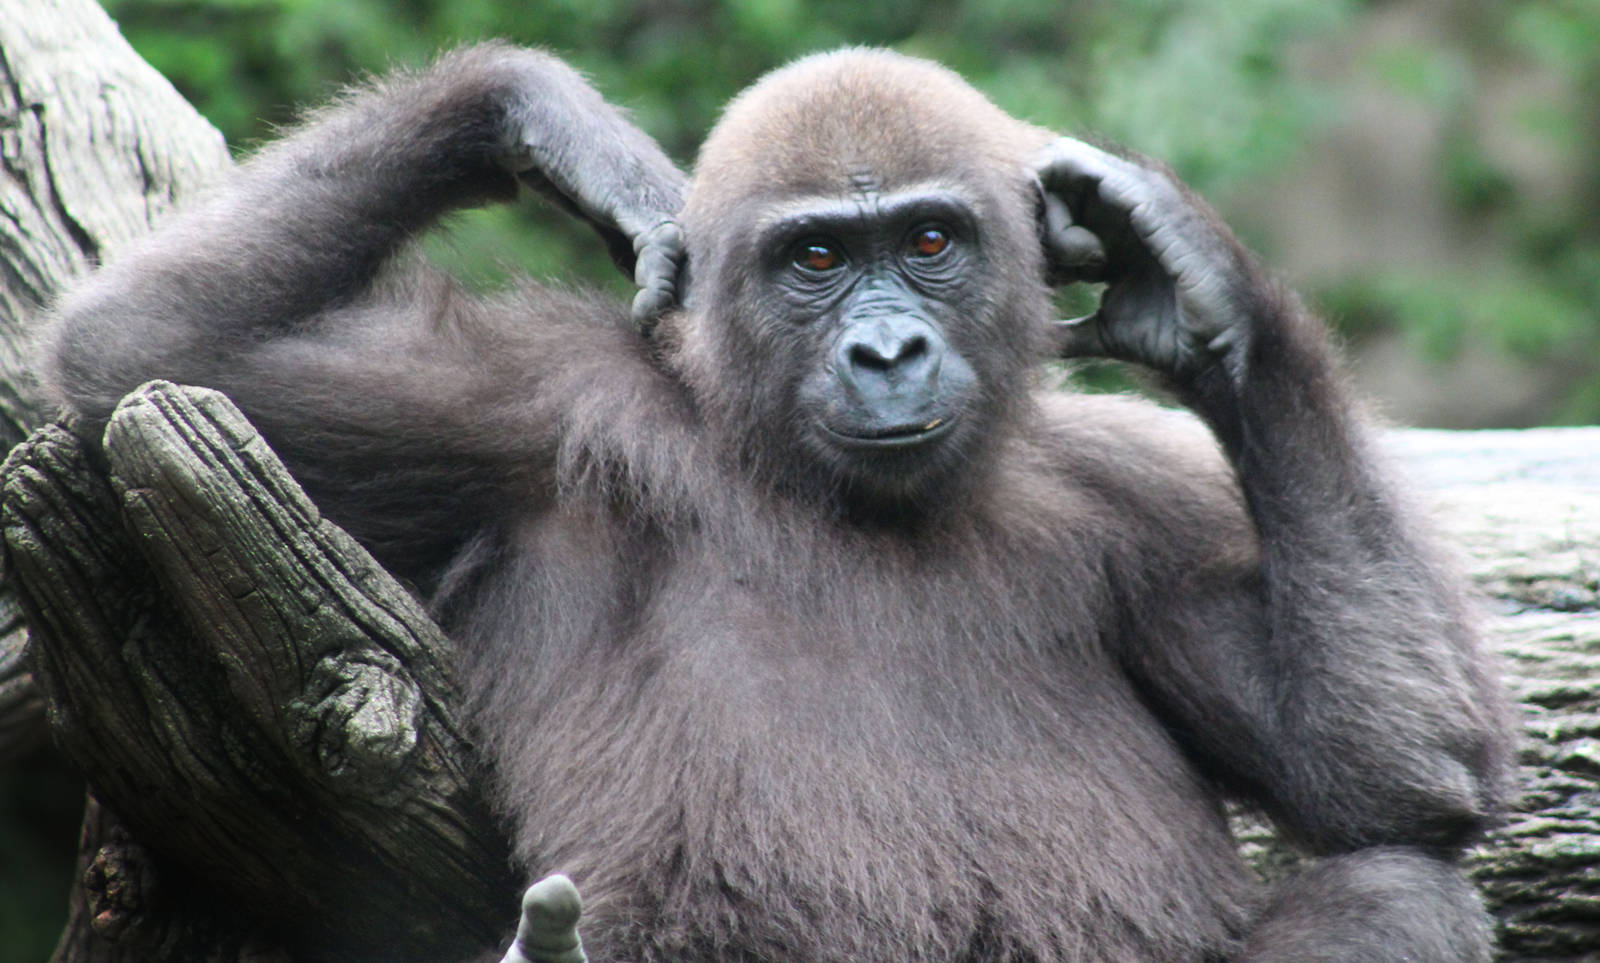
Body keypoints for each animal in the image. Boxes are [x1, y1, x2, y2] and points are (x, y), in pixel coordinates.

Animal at [41, 43, 1512, 962]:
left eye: (929, 240)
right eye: (816, 258)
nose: (887, 350)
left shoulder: (1140, 491)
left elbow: (1392, 778)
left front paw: (1200, 284)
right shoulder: (530, 411)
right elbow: (142, 363)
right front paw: (541, 115)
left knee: (1400, 884)